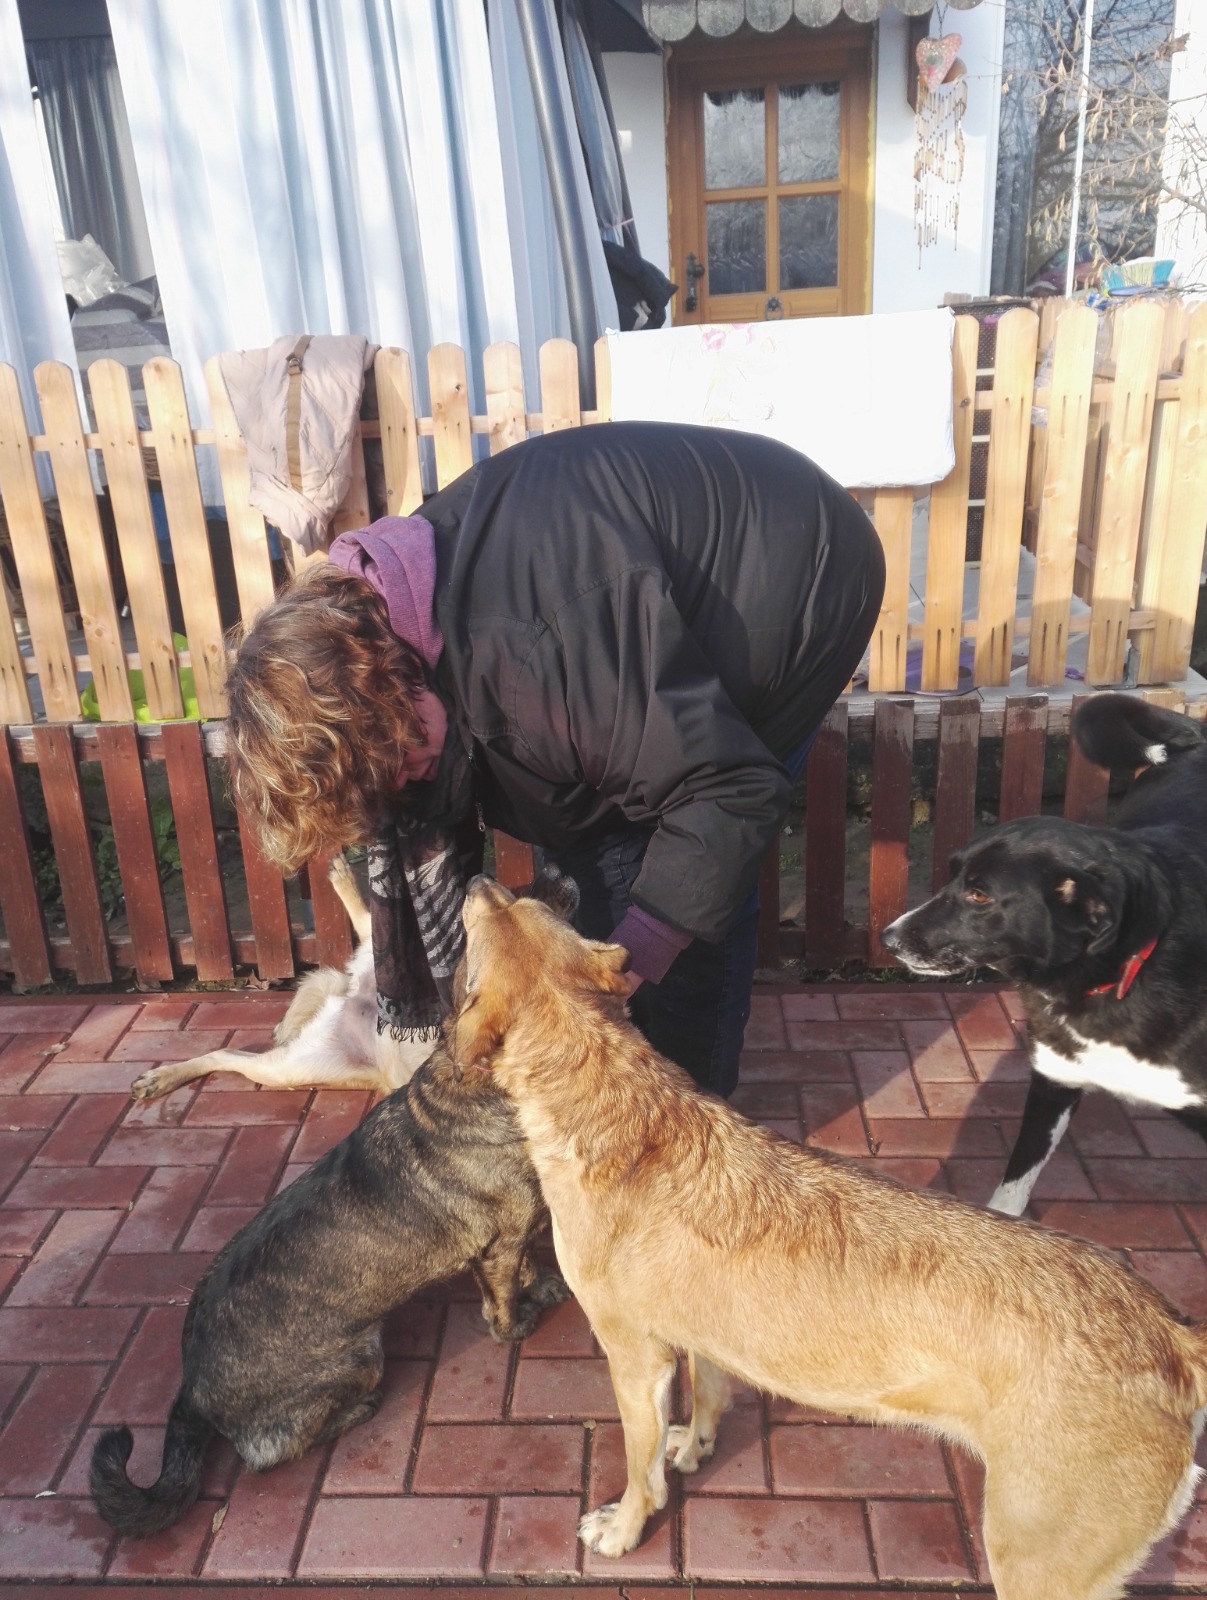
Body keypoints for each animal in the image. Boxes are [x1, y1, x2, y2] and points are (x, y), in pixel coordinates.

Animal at [453, 873, 1207, 1600]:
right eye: (524, 902)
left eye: (477, 933)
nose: (478, 878)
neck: (609, 1094)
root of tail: (1170, 1335)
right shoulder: (703, 1336)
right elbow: (710, 1397)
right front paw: (694, 1447)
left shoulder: (635, 1359)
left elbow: (641, 1473)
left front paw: (625, 1528)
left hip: (1035, 1565)